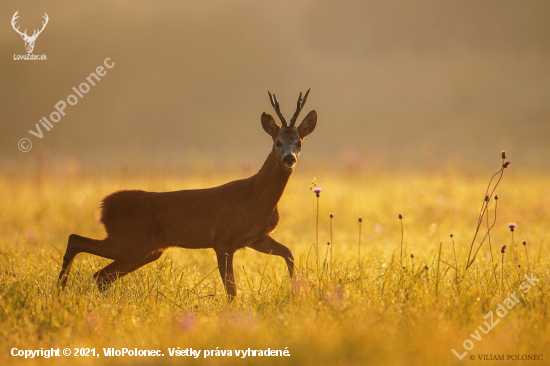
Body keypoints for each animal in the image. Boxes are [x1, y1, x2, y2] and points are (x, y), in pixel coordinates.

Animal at [57, 90, 316, 298]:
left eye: (299, 143)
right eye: (277, 142)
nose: (289, 159)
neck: (257, 199)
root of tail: (104, 206)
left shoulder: (255, 238)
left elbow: (289, 253)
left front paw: (296, 290)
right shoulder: (222, 240)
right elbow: (231, 291)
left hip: (145, 250)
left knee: (100, 275)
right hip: (129, 241)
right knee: (76, 240)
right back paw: (60, 289)